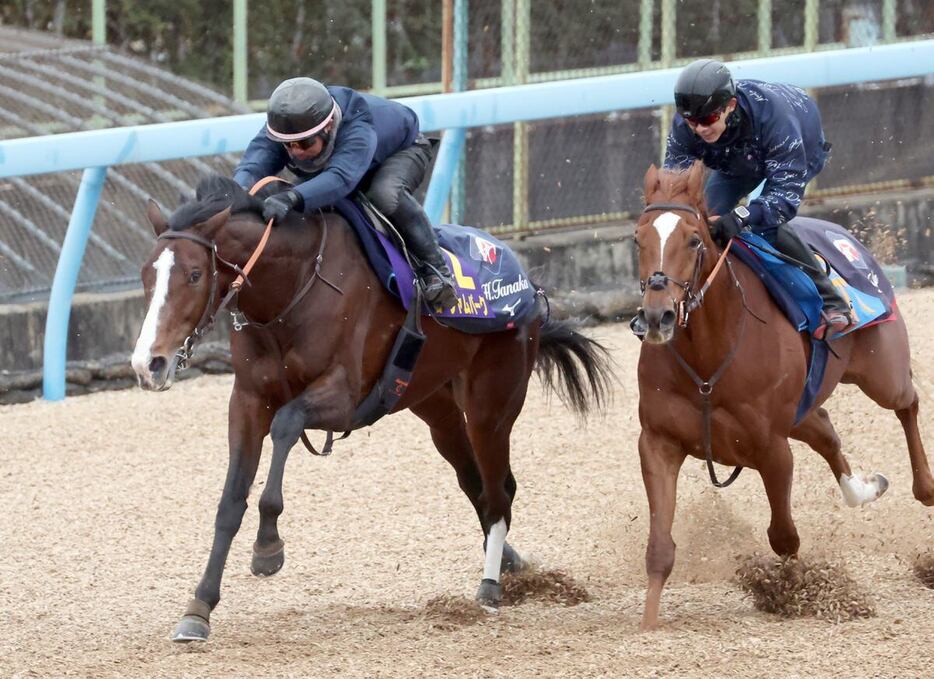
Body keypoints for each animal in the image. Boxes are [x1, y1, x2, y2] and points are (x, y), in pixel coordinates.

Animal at [132, 175, 616, 644]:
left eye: (195, 274)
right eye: (145, 275)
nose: (147, 363)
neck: (292, 287)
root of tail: (529, 287)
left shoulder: (344, 398)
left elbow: (286, 426)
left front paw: (268, 546)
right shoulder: (248, 401)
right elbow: (231, 501)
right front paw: (198, 608)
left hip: (491, 404)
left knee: (499, 491)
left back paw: (491, 586)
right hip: (435, 406)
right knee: (476, 482)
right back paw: (511, 563)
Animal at [632, 163, 932, 632]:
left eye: (694, 239)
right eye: (638, 239)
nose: (657, 316)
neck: (708, 356)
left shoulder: (773, 448)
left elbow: (784, 537)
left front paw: (796, 593)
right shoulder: (658, 441)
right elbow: (660, 548)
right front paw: (648, 624)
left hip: (881, 372)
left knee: (907, 403)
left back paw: (926, 487)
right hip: (802, 410)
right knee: (827, 432)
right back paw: (864, 489)